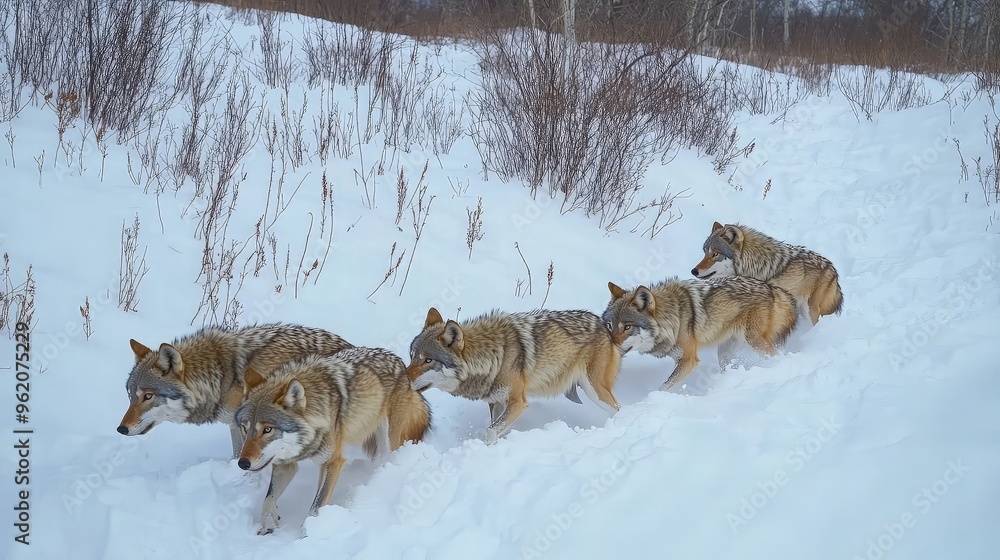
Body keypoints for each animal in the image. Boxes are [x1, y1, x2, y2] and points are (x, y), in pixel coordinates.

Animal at [236, 348, 431, 535]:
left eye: (267, 430)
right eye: (245, 428)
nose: (242, 463)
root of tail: (398, 360)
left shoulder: (332, 463)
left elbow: (316, 506)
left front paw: (307, 534)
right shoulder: (285, 463)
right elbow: (268, 499)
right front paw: (267, 524)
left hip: (388, 439)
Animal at [406, 307, 622, 445]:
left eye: (428, 360)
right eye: (412, 356)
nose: (403, 378)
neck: (494, 358)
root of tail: (602, 323)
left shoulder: (518, 402)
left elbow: (490, 432)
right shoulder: (496, 402)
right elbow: (497, 428)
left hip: (594, 390)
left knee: (618, 409)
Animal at [602, 276, 797, 390]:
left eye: (627, 327)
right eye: (610, 326)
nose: (610, 345)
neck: (673, 318)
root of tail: (772, 288)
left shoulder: (688, 360)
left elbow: (664, 387)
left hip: (753, 340)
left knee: (775, 356)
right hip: (725, 352)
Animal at [692, 221, 843, 324]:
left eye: (715, 254)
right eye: (705, 252)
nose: (693, 271)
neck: (755, 266)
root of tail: (833, 270)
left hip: (810, 311)